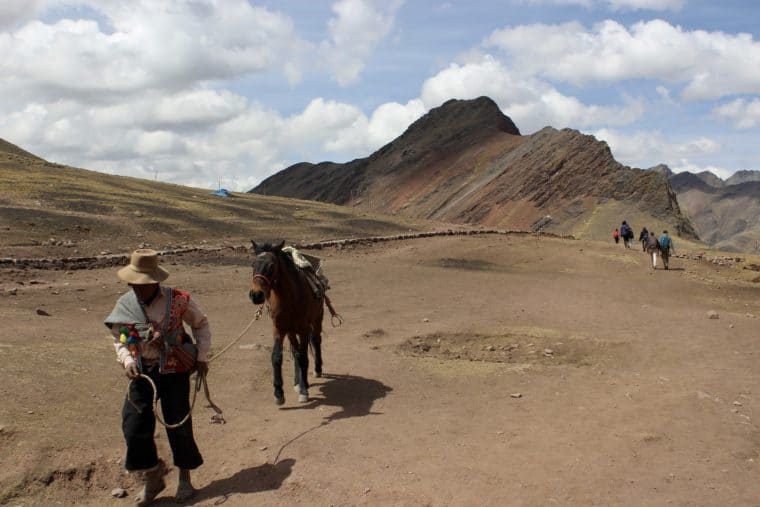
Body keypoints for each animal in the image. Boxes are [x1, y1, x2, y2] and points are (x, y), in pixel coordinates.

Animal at [248, 241, 322, 404]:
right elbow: (277, 357)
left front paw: (304, 390)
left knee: (316, 341)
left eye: (271, 266)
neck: (290, 298)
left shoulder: (304, 329)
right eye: (253, 264)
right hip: (291, 331)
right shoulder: (279, 329)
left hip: (316, 321)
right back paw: (297, 381)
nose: (256, 295)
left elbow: (304, 357)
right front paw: (278, 393)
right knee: (295, 352)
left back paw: (317, 370)